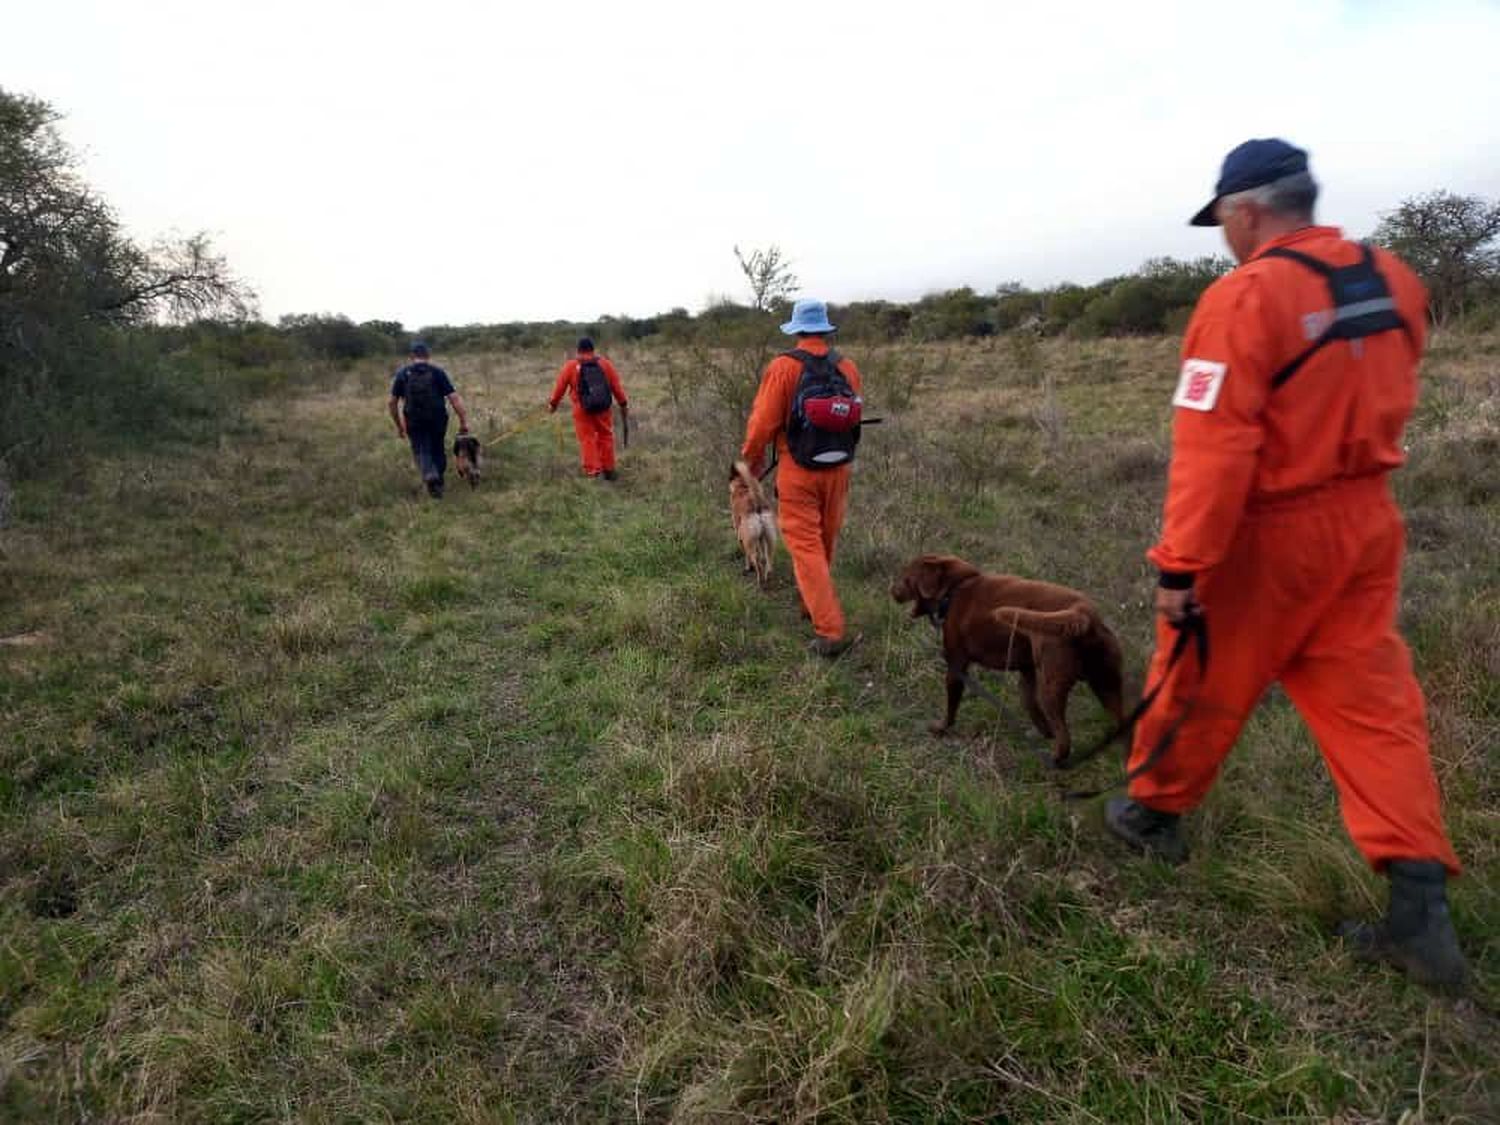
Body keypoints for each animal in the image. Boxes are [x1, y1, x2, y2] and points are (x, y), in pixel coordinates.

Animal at [732, 459, 780, 591]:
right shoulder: (760, 538)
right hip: (770, 539)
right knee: (767, 560)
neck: (742, 487)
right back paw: (768, 576)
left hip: (749, 541)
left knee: (756, 560)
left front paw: (747, 567)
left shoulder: (741, 536)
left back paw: (759, 581)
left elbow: (746, 556)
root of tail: (756, 503)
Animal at [888, 555, 1128, 768]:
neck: (956, 589)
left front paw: (941, 728)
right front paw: (1043, 732)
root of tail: (1084, 613)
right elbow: (1029, 702)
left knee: (1065, 738)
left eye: (906, 577)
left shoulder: (957, 665)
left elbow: (951, 706)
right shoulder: (1027, 671)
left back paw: (1055, 760)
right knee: (1121, 724)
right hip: (1106, 683)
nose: (891, 590)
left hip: (1053, 684)